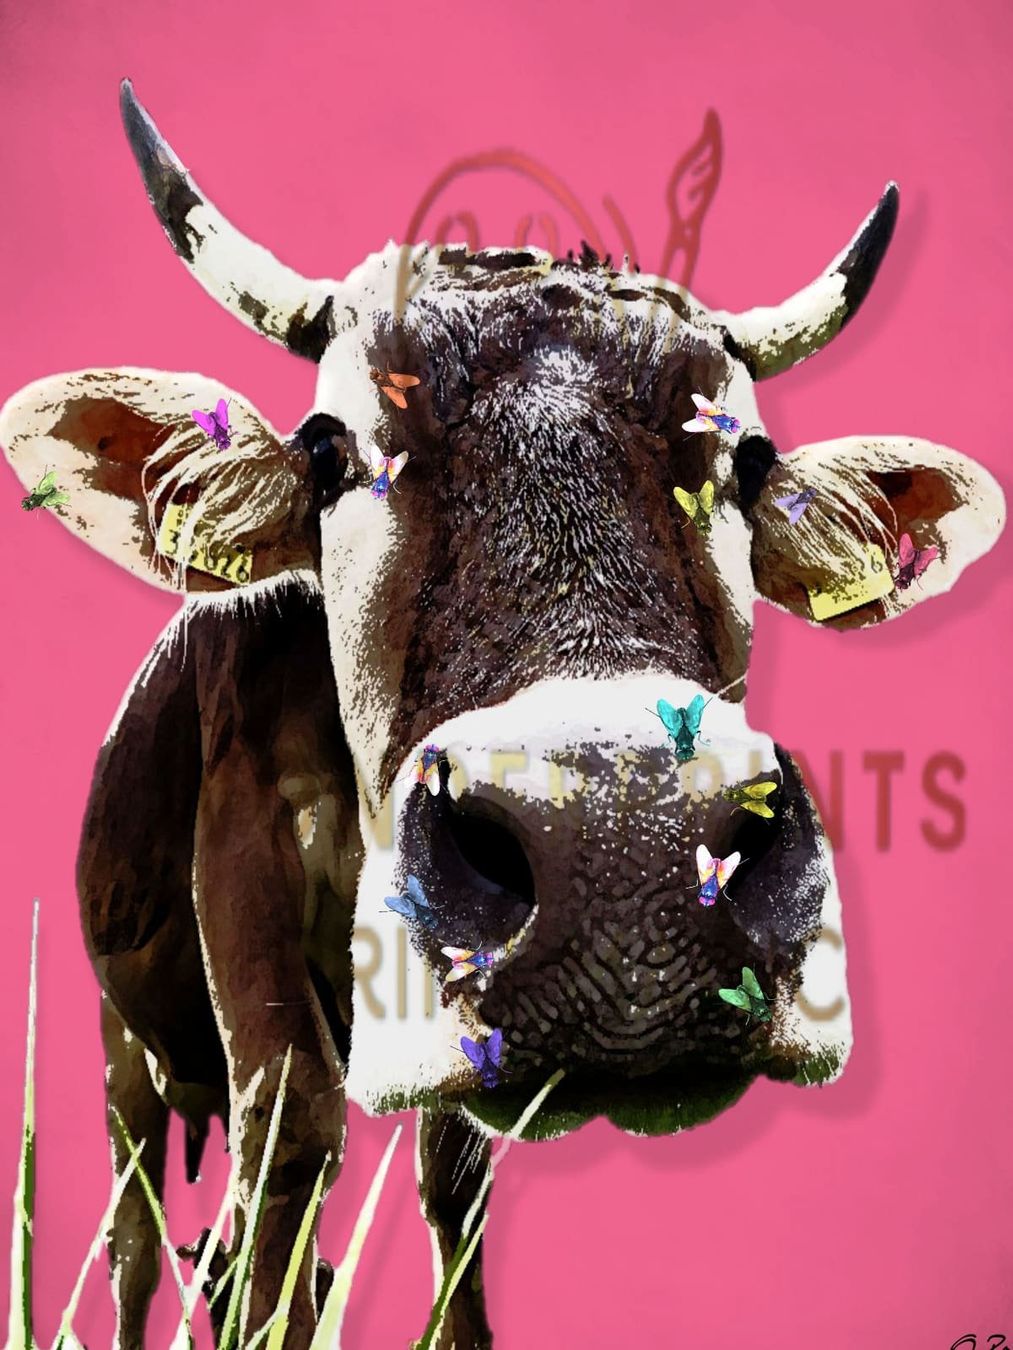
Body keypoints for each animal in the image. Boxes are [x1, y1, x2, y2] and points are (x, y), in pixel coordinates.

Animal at [0, 80, 1004, 1349]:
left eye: (745, 462)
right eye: (329, 451)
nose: (622, 857)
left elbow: (451, 1182)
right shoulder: (242, 843)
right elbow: (291, 1126)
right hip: (116, 1035)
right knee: (138, 1224)